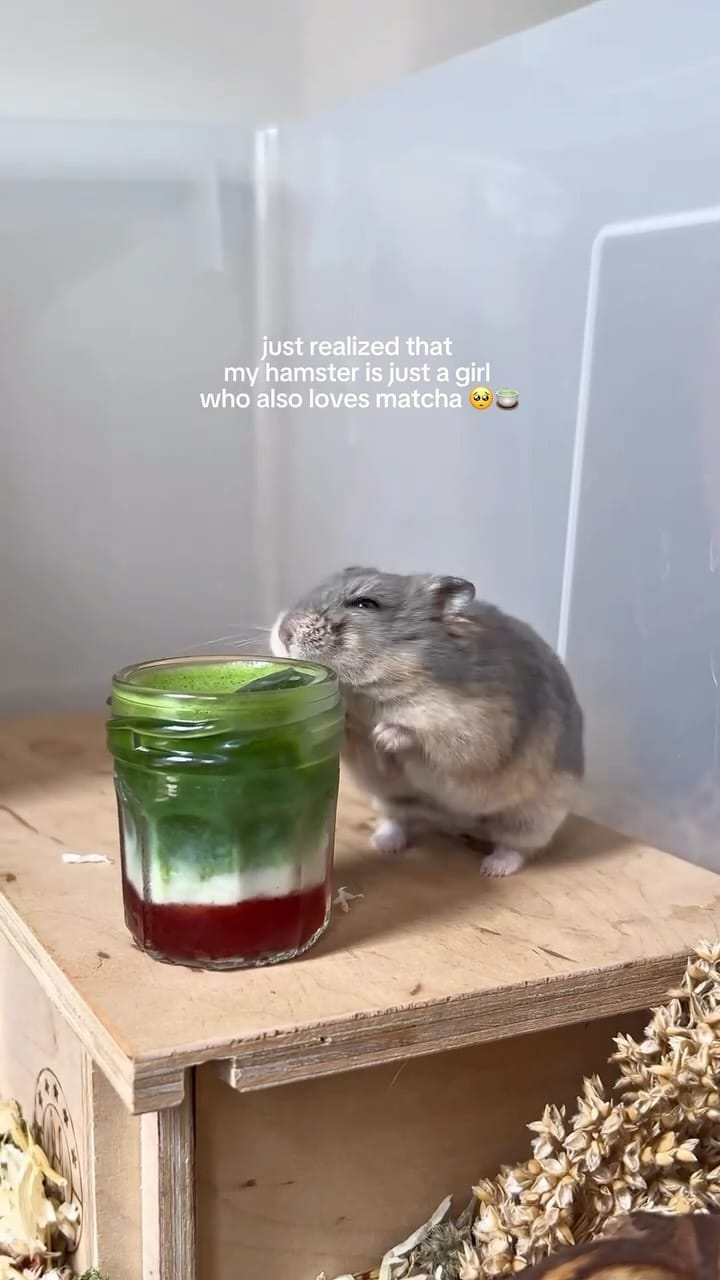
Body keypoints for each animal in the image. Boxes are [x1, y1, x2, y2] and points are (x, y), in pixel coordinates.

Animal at [270, 566, 584, 877]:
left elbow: (426, 734)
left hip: (533, 818)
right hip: (390, 798)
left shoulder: (480, 722)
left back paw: (493, 868)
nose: (284, 631)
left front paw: (383, 735)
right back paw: (384, 844)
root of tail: (455, 824)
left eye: (364, 604)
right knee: (398, 821)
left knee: (516, 847)